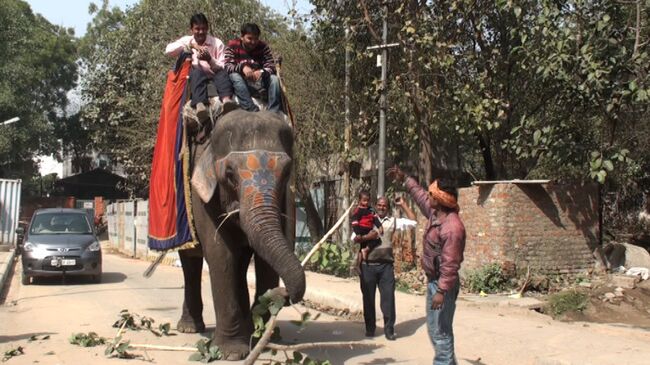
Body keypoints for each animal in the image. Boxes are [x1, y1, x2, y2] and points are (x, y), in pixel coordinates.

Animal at [175, 110, 306, 358]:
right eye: (229, 174)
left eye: (286, 173)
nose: (282, 293)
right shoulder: (201, 199)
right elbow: (221, 256)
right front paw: (232, 353)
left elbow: (263, 262)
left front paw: (260, 338)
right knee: (191, 262)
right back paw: (189, 328)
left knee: (241, 263)